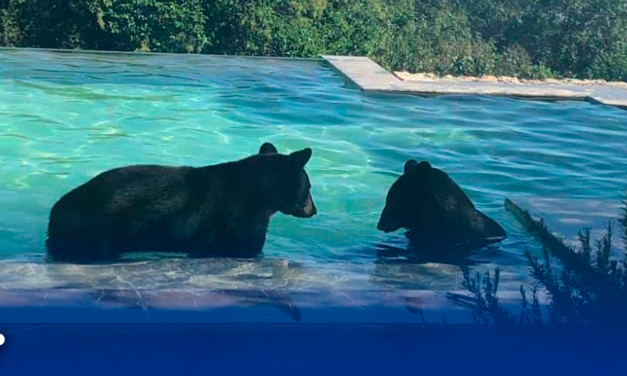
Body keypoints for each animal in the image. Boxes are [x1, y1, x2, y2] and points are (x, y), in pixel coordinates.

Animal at [46, 142, 316, 262]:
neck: (262, 195)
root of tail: (55, 212)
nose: (314, 210)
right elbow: (244, 247)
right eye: (309, 187)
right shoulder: (238, 221)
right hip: (98, 229)